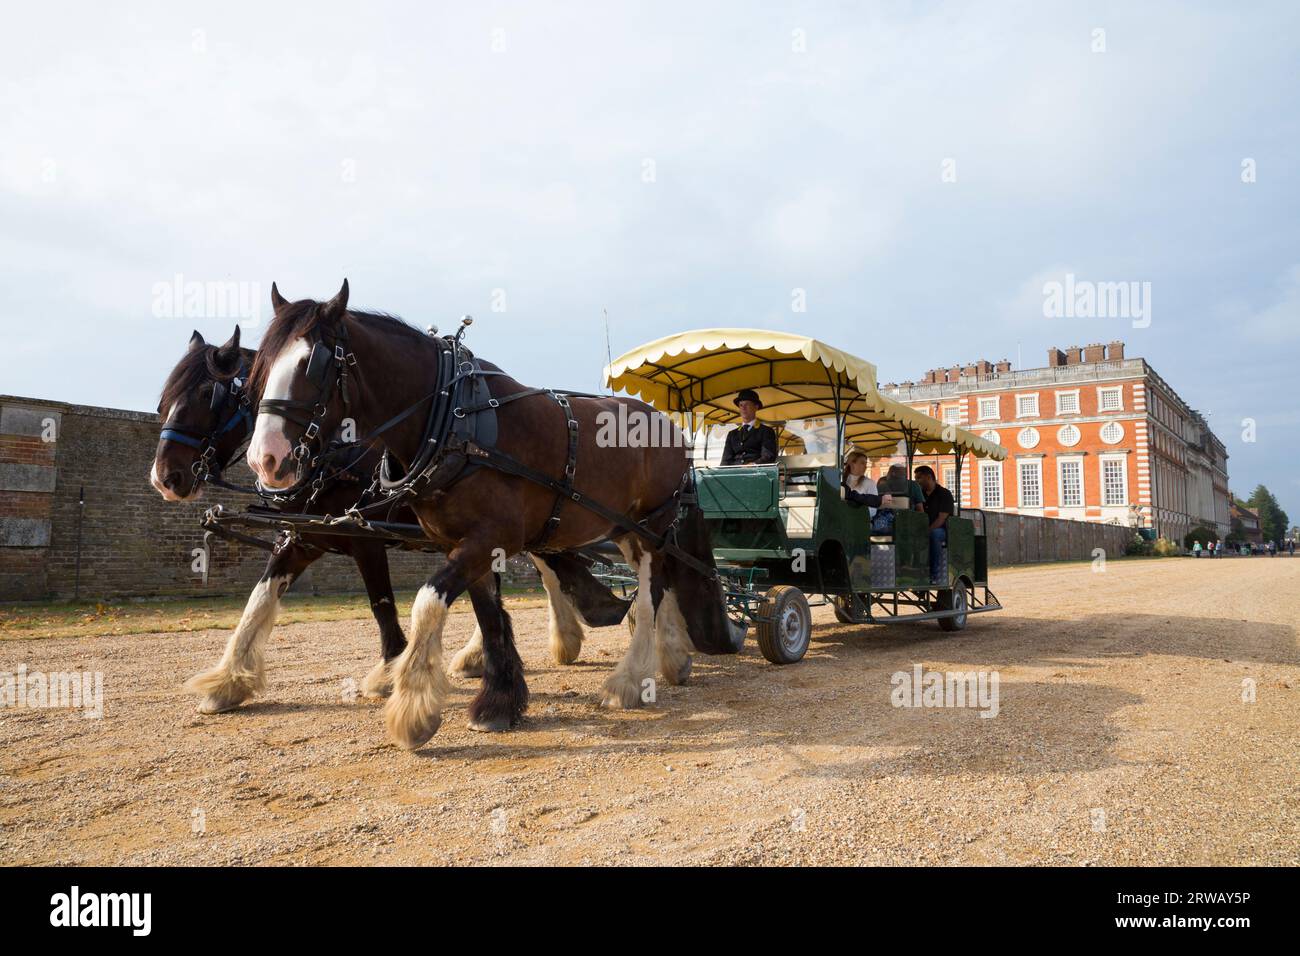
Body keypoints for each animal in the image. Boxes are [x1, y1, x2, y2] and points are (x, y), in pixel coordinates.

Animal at [152, 325, 629, 712]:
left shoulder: (364, 536)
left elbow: (381, 604)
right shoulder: (302, 537)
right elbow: (260, 599)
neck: (334, 456)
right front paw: (228, 681)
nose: (165, 478)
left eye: (208, 396)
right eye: (165, 400)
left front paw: (389, 671)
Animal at [244, 280, 743, 749]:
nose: (264, 460)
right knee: (660, 582)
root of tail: (669, 426)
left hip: (653, 524)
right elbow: (487, 614)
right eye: (261, 368)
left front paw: (412, 712)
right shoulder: (467, 544)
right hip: (627, 528)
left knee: (651, 589)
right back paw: (672, 657)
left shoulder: (486, 537)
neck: (454, 421)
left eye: (312, 364)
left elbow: (426, 602)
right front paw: (498, 702)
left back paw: (629, 680)